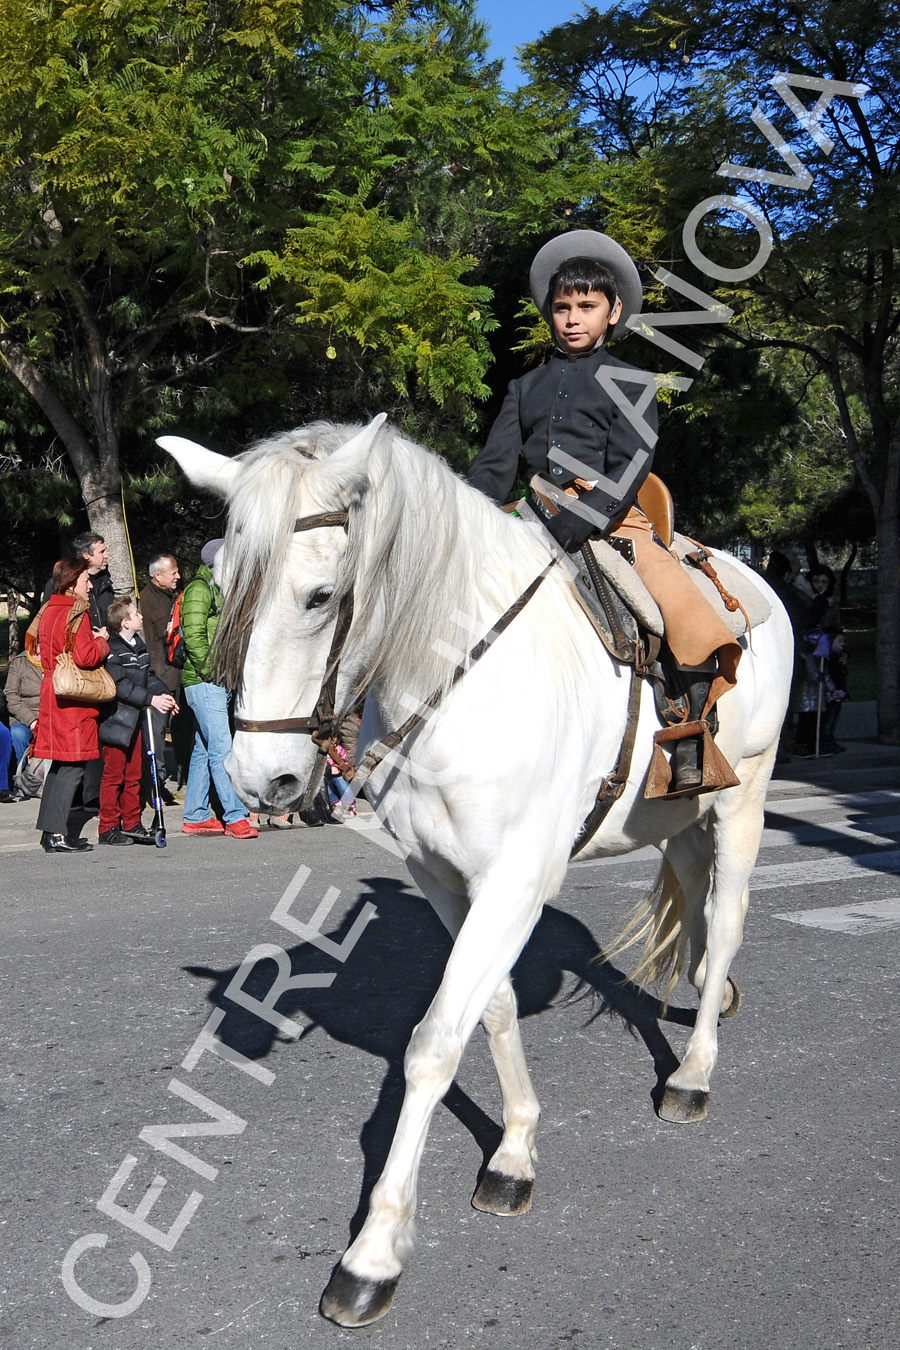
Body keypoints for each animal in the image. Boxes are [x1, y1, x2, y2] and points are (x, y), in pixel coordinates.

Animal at [163, 418, 793, 1328]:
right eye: (228, 589)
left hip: (747, 796)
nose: (259, 780)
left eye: (319, 597)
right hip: (678, 812)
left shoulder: (516, 882)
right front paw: (515, 1150)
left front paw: (374, 1252)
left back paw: (694, 1072)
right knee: (696, 898)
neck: (459, 679)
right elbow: (489, 1012)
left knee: (732, 911)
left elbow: (432, 1047)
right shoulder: (443, 879)